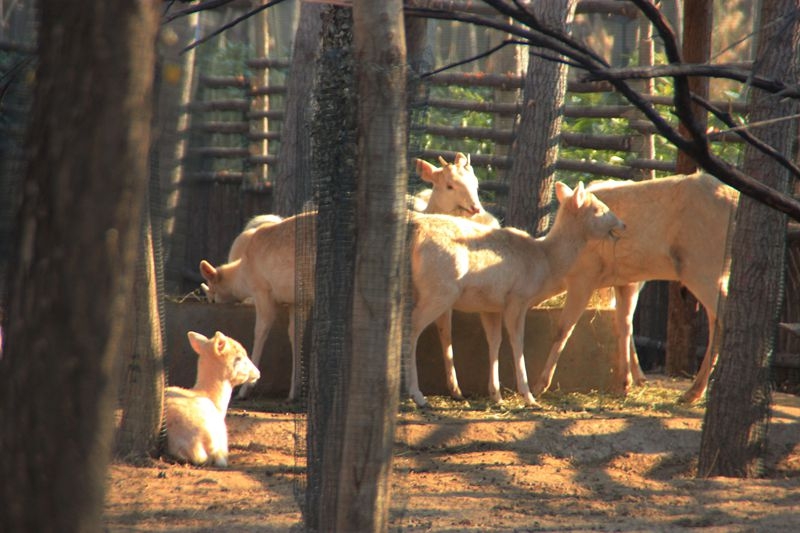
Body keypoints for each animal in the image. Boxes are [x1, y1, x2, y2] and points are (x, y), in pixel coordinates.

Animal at [406, 181, 624, 406]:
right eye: (598, 209)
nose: (622, 225)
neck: (546, 265)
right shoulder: (518, 298)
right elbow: (517, 342)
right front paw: (528, 396)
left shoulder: (490, 306)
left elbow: (495, 341)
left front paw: (497, 395)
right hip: (439, 290)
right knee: (412, 328)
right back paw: (417, 394)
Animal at [536, 174, 740, 404]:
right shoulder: (624, 279)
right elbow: (624, 324)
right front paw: (627, 383)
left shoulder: (585, 277)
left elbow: (564, 329)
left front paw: (541, 385)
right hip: (714, 271)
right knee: (716, 319)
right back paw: (693, 391)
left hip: (702, 265)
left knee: (721, 318)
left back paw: (695, 391)